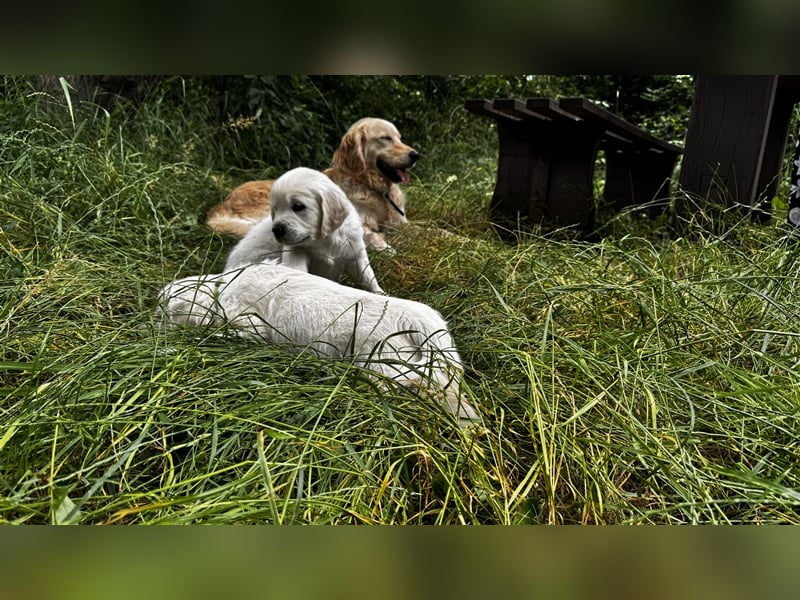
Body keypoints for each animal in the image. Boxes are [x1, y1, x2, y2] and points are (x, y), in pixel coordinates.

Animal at [157, 264, 482, 426]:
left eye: (164, 314)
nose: (155, 329)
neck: (221, 286)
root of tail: (421, 317)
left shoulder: (250, 325)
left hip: (386, 365)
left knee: (434, 386)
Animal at [222, 168, 384, 294]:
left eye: (298, 206)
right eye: (275, 209)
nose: (276, 230)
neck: (323, 240)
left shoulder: (354, 252)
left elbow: (368, 276)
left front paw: (381, 293)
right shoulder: (295, 250)